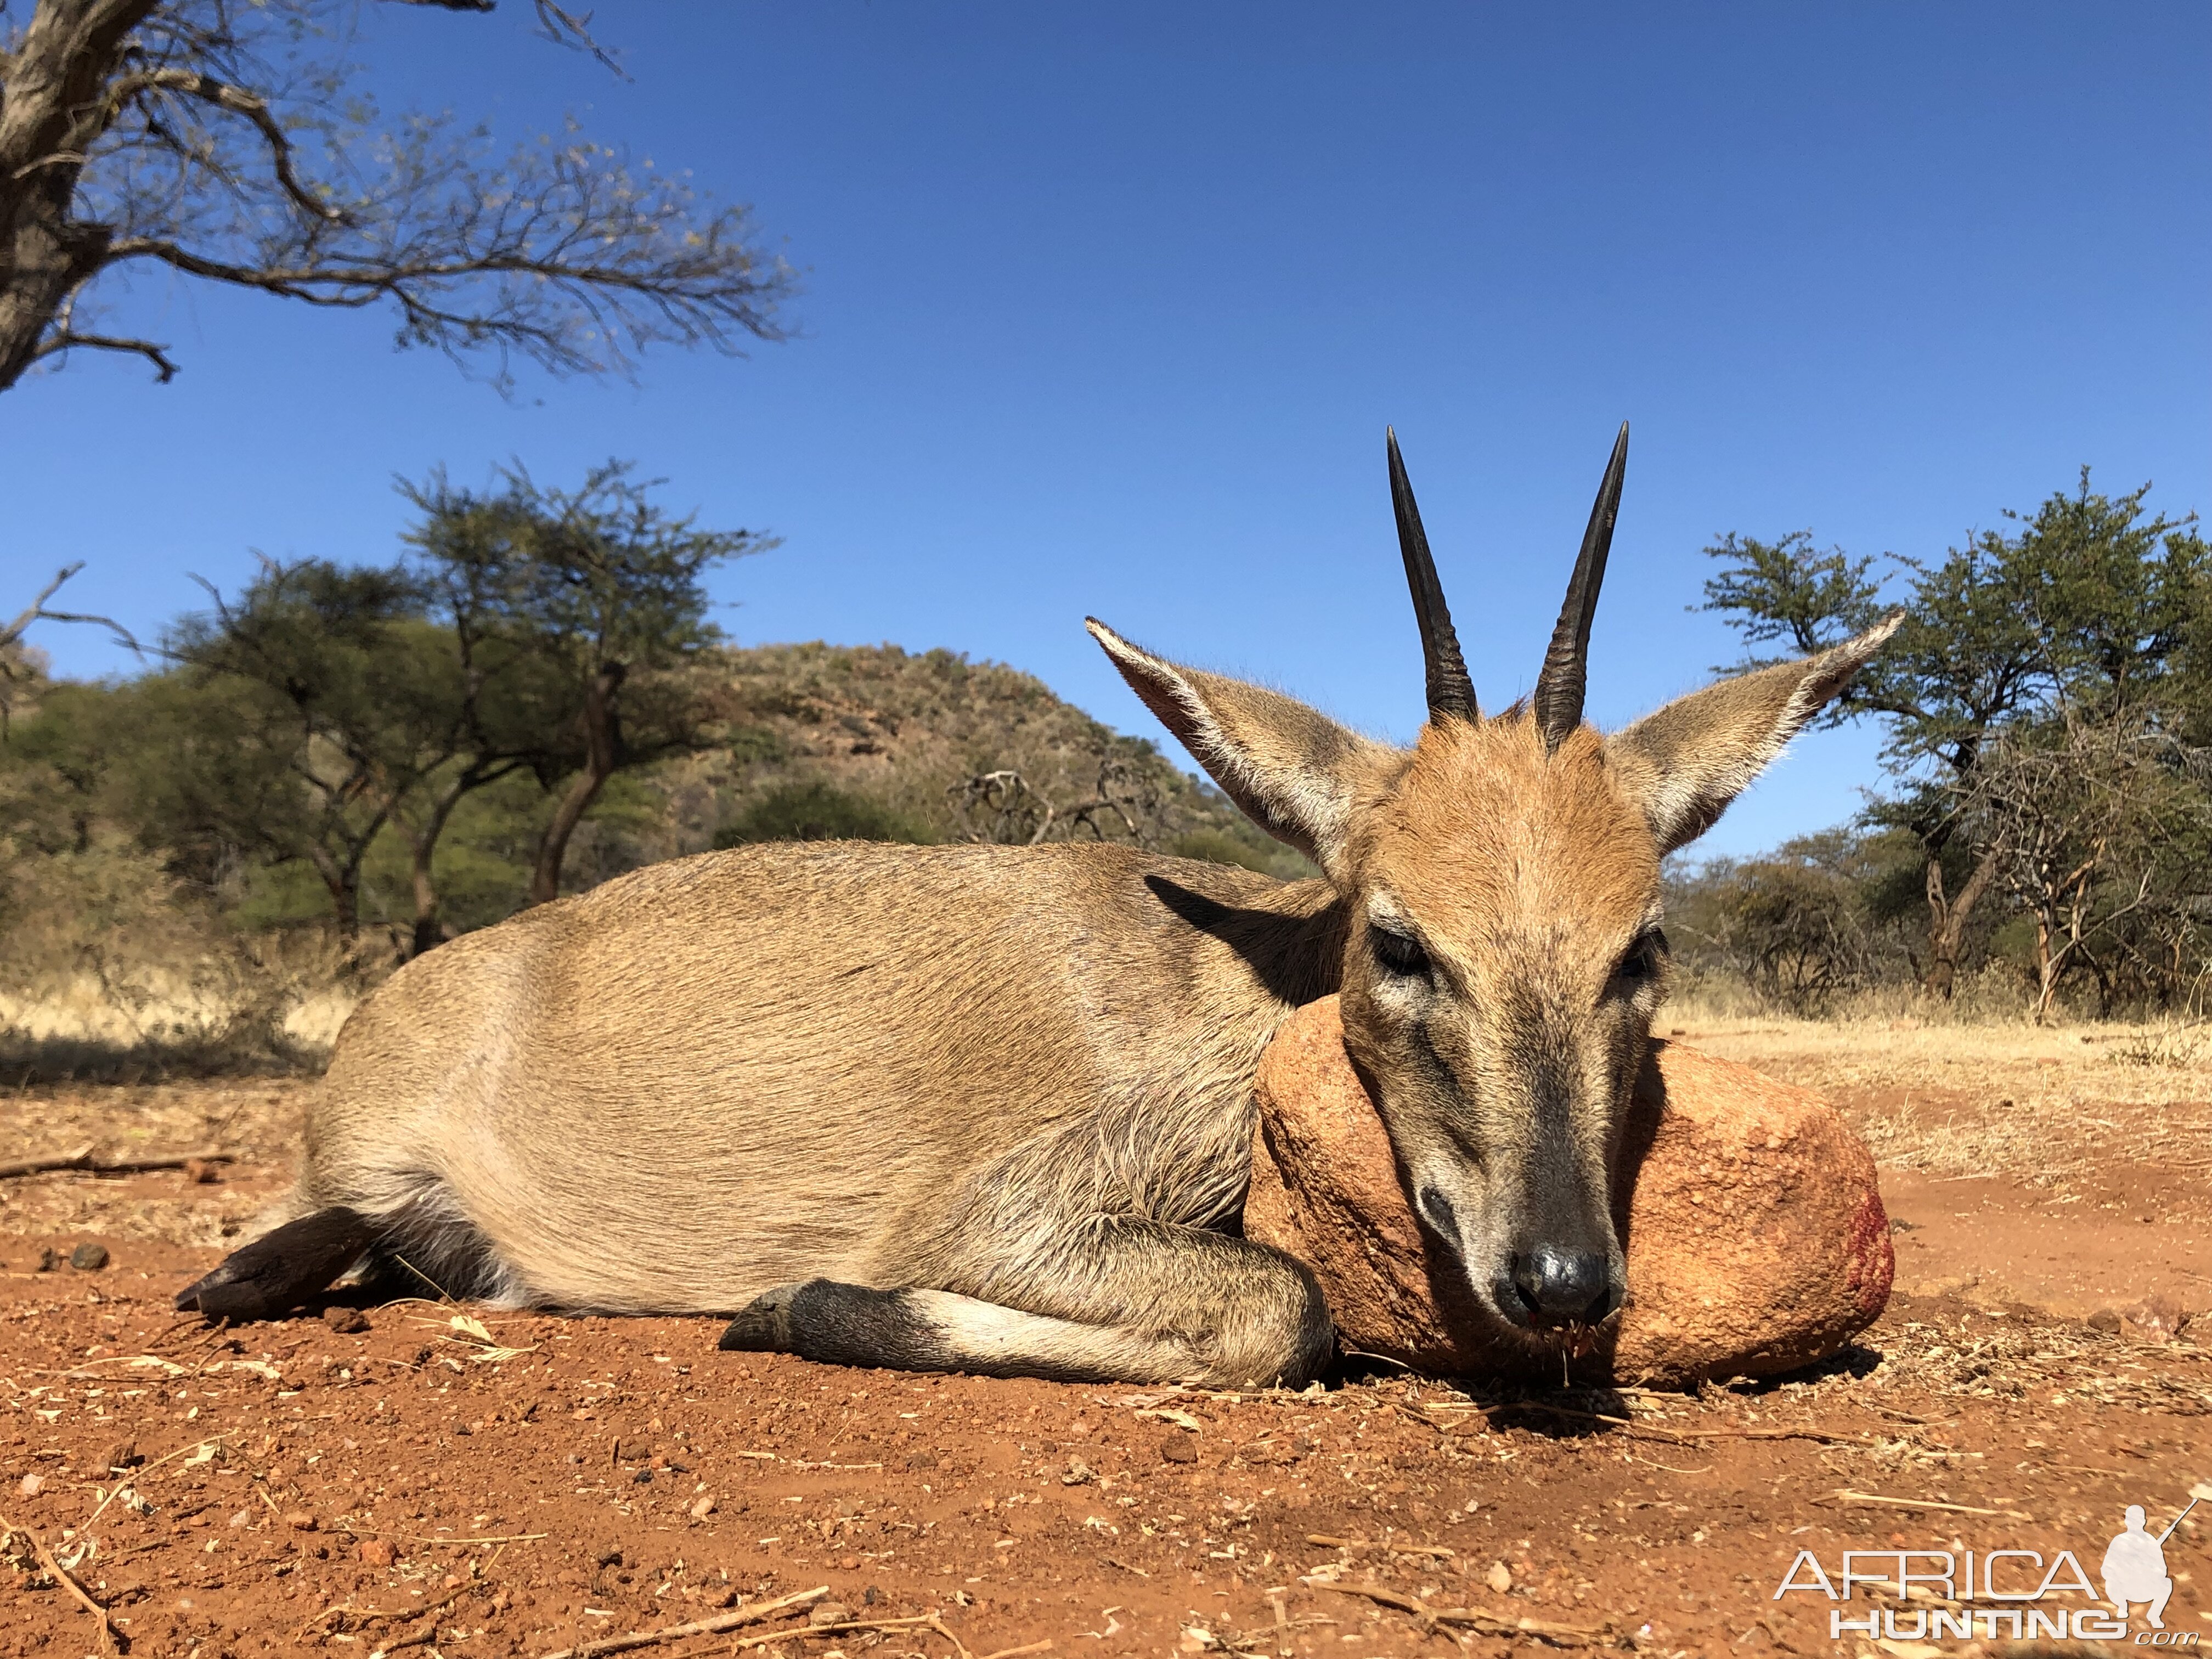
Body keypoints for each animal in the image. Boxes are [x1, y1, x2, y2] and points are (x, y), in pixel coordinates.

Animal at [177, 429, 1902, 1389]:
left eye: (1643, 948)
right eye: (1401, 941)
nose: (1560, 1277)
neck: (1252, 974)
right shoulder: (1000, 1215)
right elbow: (1285, 1315)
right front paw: (795, 1300)